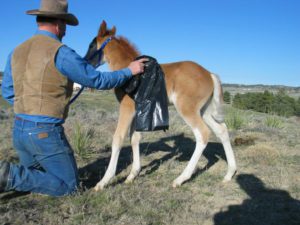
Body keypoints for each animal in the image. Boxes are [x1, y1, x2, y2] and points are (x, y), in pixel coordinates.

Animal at [91, 21, 237, 191]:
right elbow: (135, 138)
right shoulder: (138, 110)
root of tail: (209, 74)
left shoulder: (127, 108)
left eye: (92, 44)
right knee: (222, 130)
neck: (129, 70)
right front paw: (132, 175)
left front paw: (104, 181)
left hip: (187, 109)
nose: (85, 60)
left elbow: (118, 138)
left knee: (203, 133)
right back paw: (229, 174)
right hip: (204, 110)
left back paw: (181, 178)